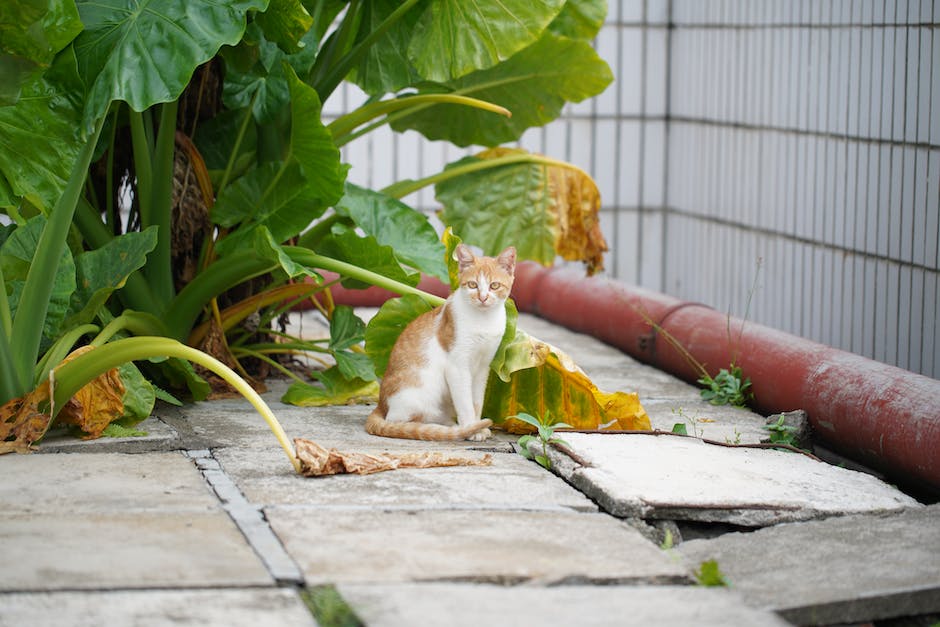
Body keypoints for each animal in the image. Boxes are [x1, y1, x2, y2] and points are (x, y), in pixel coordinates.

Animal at [366, 243, 516, 444]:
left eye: (494, 285)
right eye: (472, 285)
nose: (483, 297)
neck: (483, 320)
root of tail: (381, 404)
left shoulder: (483, 368)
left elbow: (476, 401)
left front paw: (477, 427)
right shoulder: (457, 367)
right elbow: (465, 402)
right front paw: (471, 428)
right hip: (422, 390)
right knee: (400, 421)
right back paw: (447, 428)